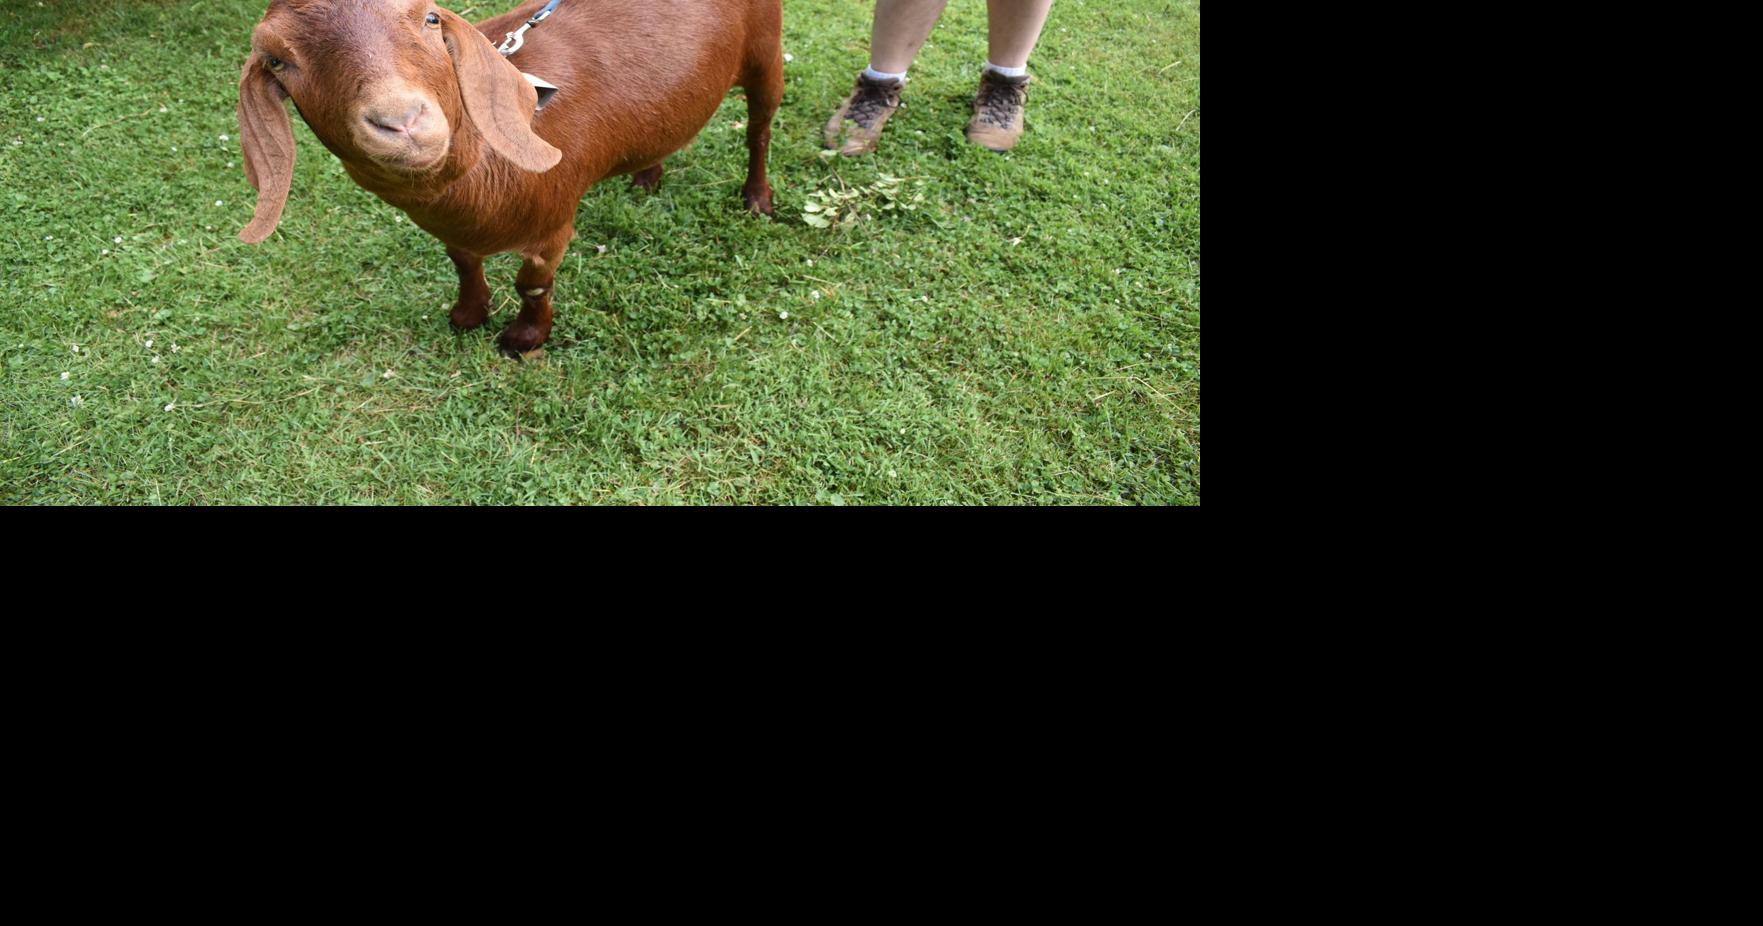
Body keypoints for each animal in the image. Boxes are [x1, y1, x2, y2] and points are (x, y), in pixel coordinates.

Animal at [237, 0, 783, 353]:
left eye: (430, 18)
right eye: (276, 60)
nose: (403, 120)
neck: (483, 171)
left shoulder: (553, 224)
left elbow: (532, 284)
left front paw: (523, 339)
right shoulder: (453, 230)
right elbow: (462, 262)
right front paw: (469, 314)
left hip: (766, 51)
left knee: (760, 129)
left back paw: (757, 199)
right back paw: (647, 176)